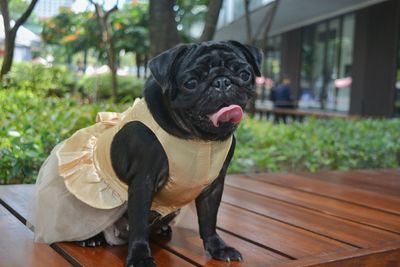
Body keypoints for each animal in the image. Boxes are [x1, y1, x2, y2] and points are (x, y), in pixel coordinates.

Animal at [112, 40, 262, 266]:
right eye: (190, 83)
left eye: (244, 74)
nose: (221, 82)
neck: (199, 139)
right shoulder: (142, 183)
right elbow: (138, 224)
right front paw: (139, 257)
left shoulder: (214, 187)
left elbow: (209, 220)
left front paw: (217, 248)